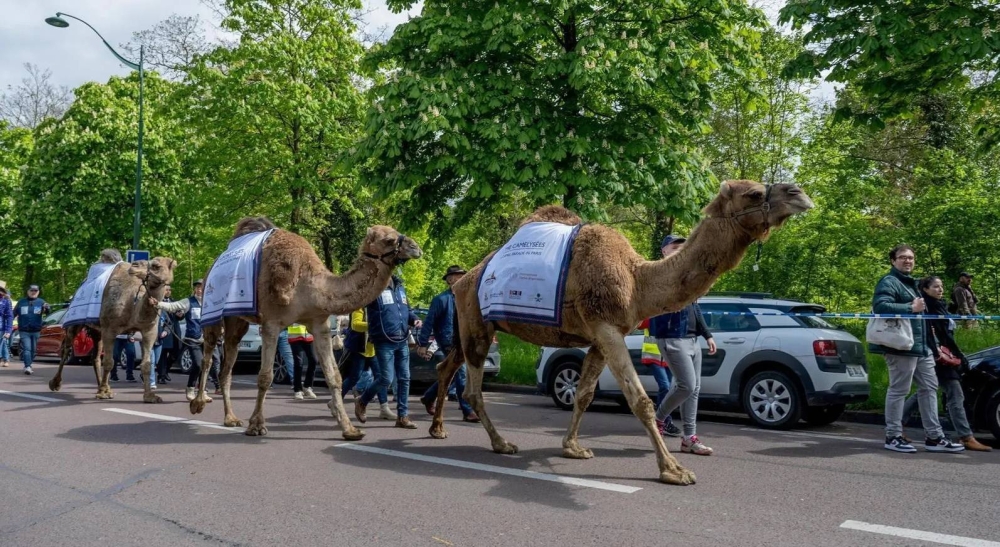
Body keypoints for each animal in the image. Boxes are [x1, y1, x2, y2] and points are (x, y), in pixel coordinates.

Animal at [50, 251, 177, 404]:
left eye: (156, 266)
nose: (134, 266)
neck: (133, 305)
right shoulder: (110, 329)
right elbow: (109, 362)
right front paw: (103, 394)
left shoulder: (149, 332)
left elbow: (146, 364)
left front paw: (150, 396)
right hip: (76, 322)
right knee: (66, 349)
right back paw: (56, 384)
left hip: (97, 330)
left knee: (95, 357)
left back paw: (101, 387)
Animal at [187, 217, 422, 440]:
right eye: (389, 240)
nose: (416, 247)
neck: (309, 284)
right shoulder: (271, 323)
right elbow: (265, 377)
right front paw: (256, 426)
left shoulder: (319, 324)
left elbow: (334, 376)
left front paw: (350, 429)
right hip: (213, 313)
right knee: (208, 357)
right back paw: (198, 404)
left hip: (237, 321)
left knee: (228, 363)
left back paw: (230, 418)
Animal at [428, 180, 814, 485]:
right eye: (753, 193)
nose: (800, 194)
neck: (636, 280)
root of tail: (461, 282)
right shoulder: (607, 328)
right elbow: (640, 400)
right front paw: (673, 470)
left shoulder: (601, 337)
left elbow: (584, 394)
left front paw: (573, 448)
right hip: (476, 321)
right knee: (472, 387)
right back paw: (500, 443)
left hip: (469, 325)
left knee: (447, 366)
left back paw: (437, 428)